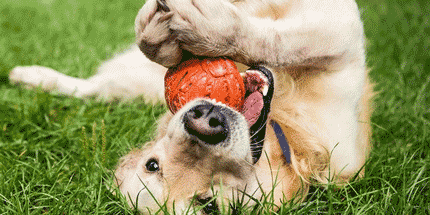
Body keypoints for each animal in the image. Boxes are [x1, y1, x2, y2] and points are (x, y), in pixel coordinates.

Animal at [10, 0, 372, 212]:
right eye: (153, 165)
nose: (204, 122)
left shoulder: (338, 32)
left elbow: (277, 36)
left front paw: (204, 29)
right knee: (97, 87)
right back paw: (33, 77)